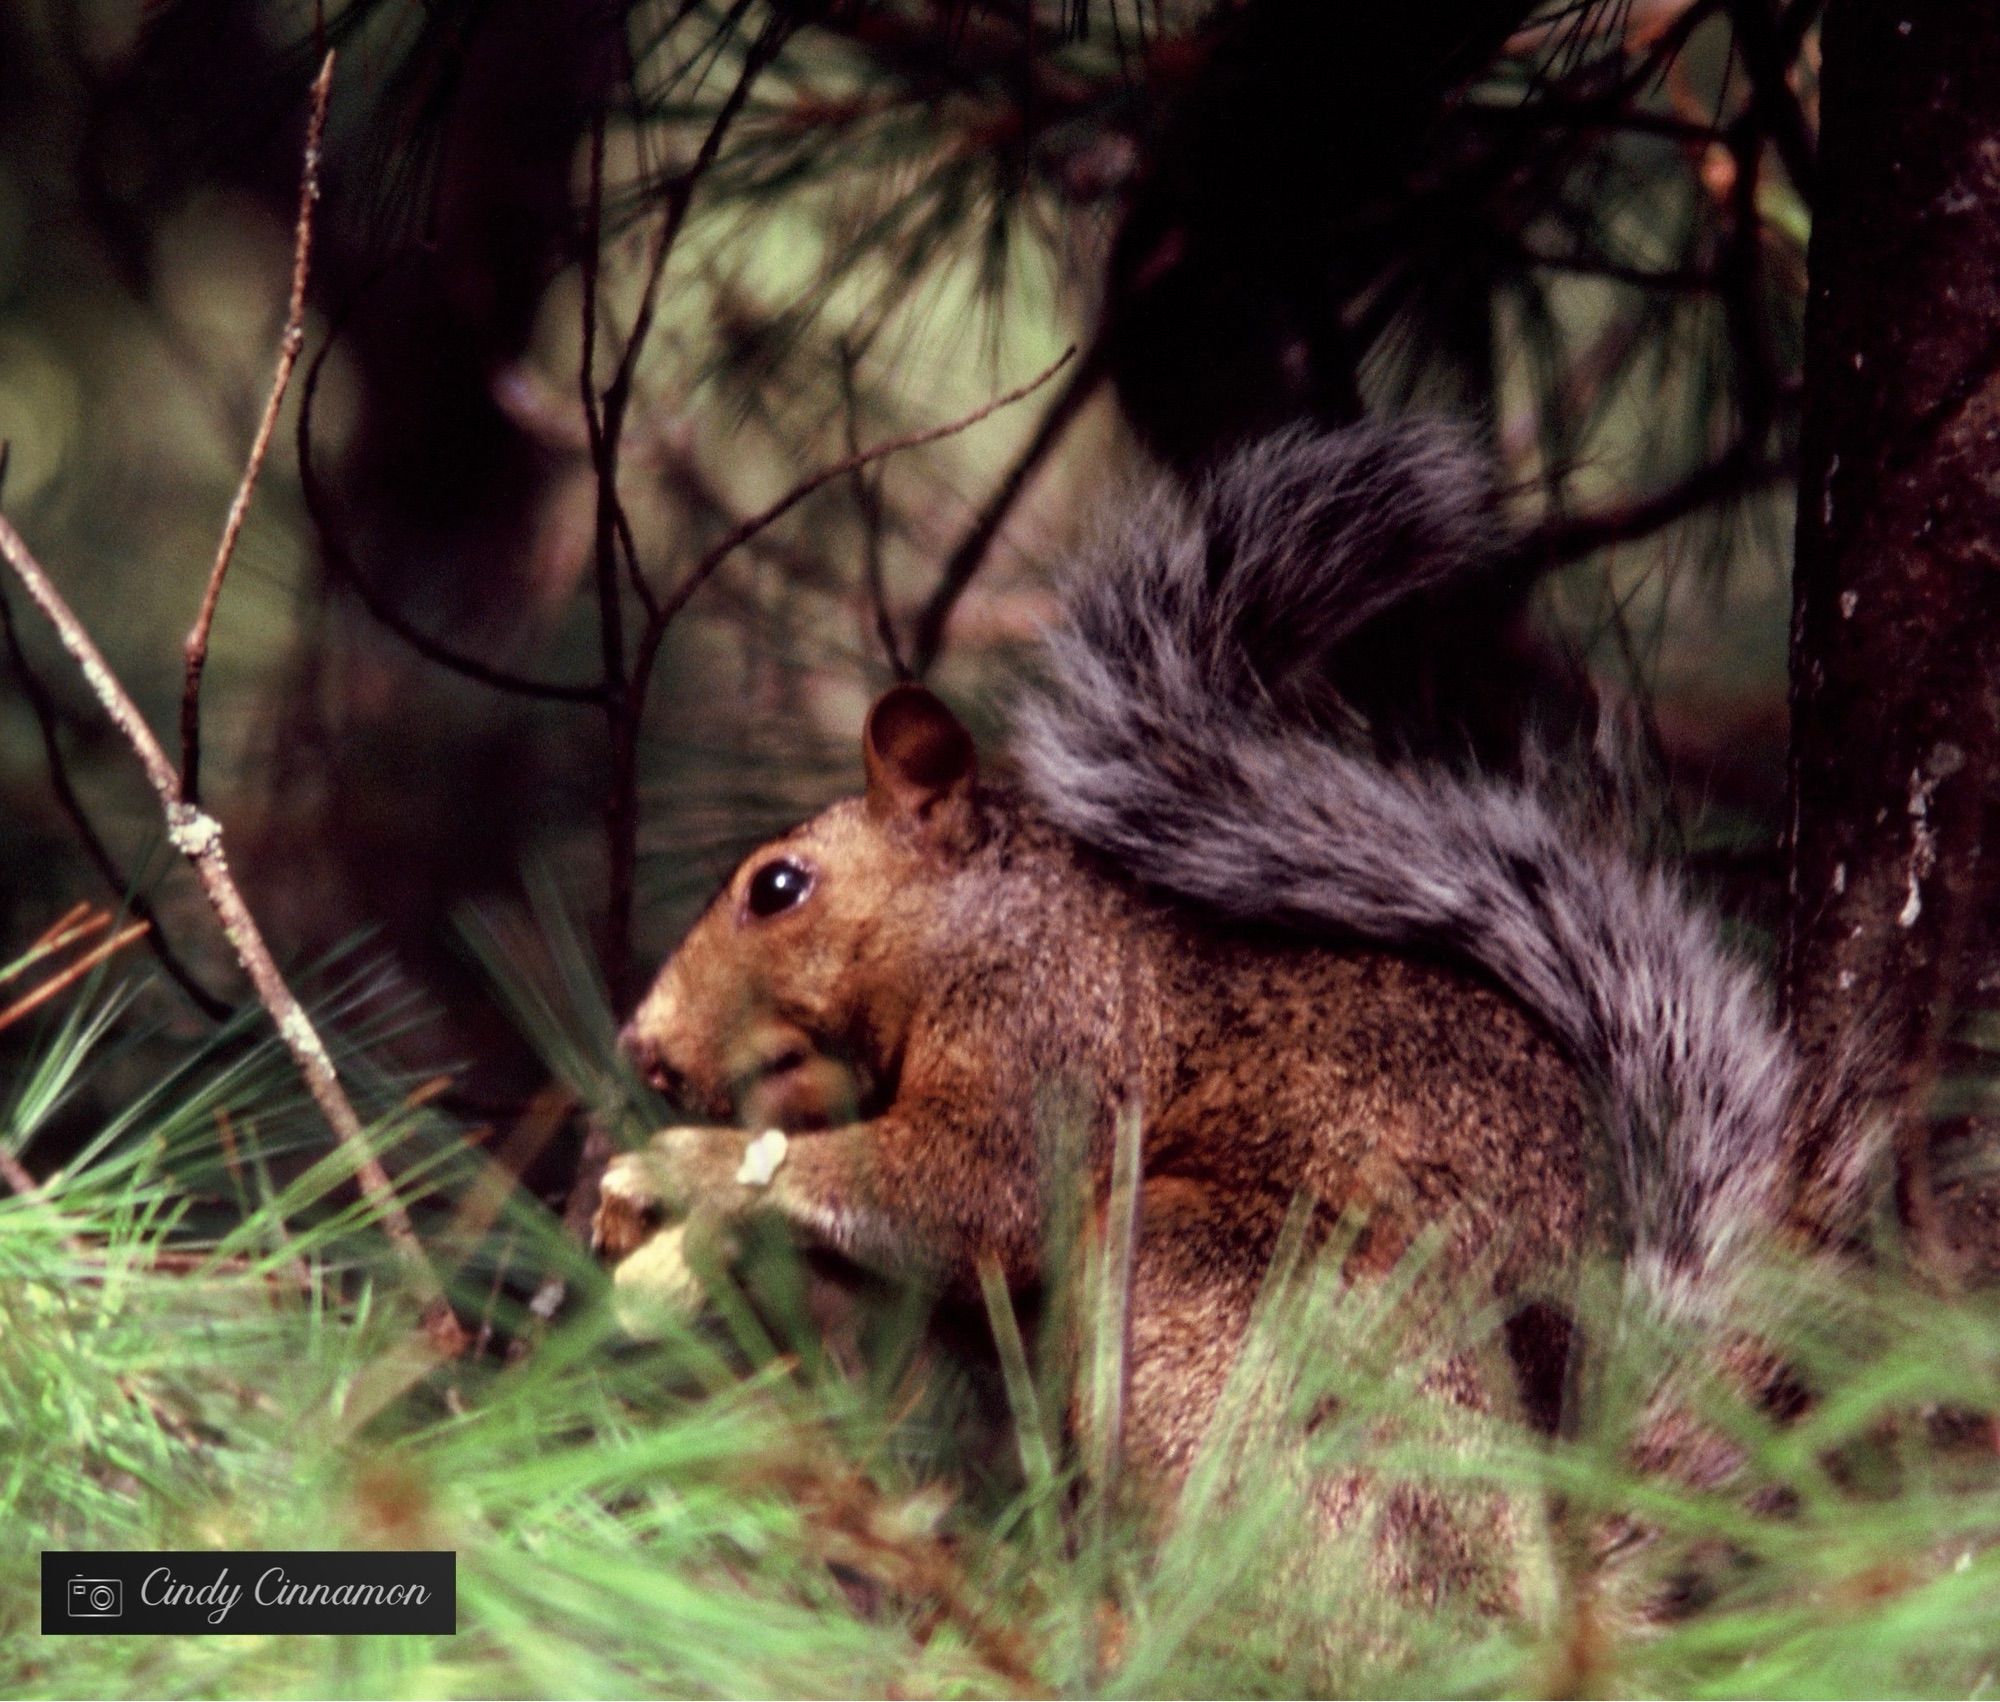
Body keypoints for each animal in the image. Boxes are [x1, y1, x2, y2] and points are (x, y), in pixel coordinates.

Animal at [592, 422, 1800, 1584]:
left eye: (777, 887)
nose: (641, 1048)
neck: (992, 925)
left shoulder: (1052, 1038)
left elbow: (966, 1192)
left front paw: (683, 1164)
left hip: (1200, 1285)